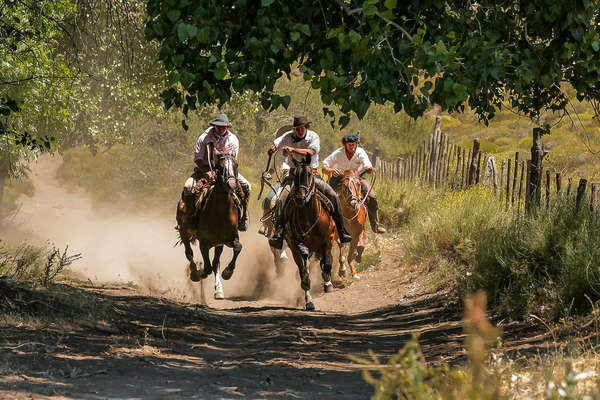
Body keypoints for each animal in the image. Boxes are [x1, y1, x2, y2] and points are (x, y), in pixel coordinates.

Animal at [176, 153, 244, 300]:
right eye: (221, 167)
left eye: (236, 165)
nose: (231, 184)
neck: (219, 212)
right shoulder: (204, 243)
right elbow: (206, 268)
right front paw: (199, 272)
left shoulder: (229, 238)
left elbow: (237, 247)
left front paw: (227, 273)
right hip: (184, 232)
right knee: (189, 253)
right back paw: (195, 274)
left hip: (219, 244)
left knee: (215, 262)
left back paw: (218, 290)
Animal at [284, 158, 336, 310]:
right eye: (294, 174)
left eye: (309, 174)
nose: (300, 198)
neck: (309, 217)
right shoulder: (296, 247)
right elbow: (304, 274)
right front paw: (309, 300)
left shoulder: (328, 241)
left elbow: (327, 265)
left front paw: (328, 283)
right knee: (305, 269)